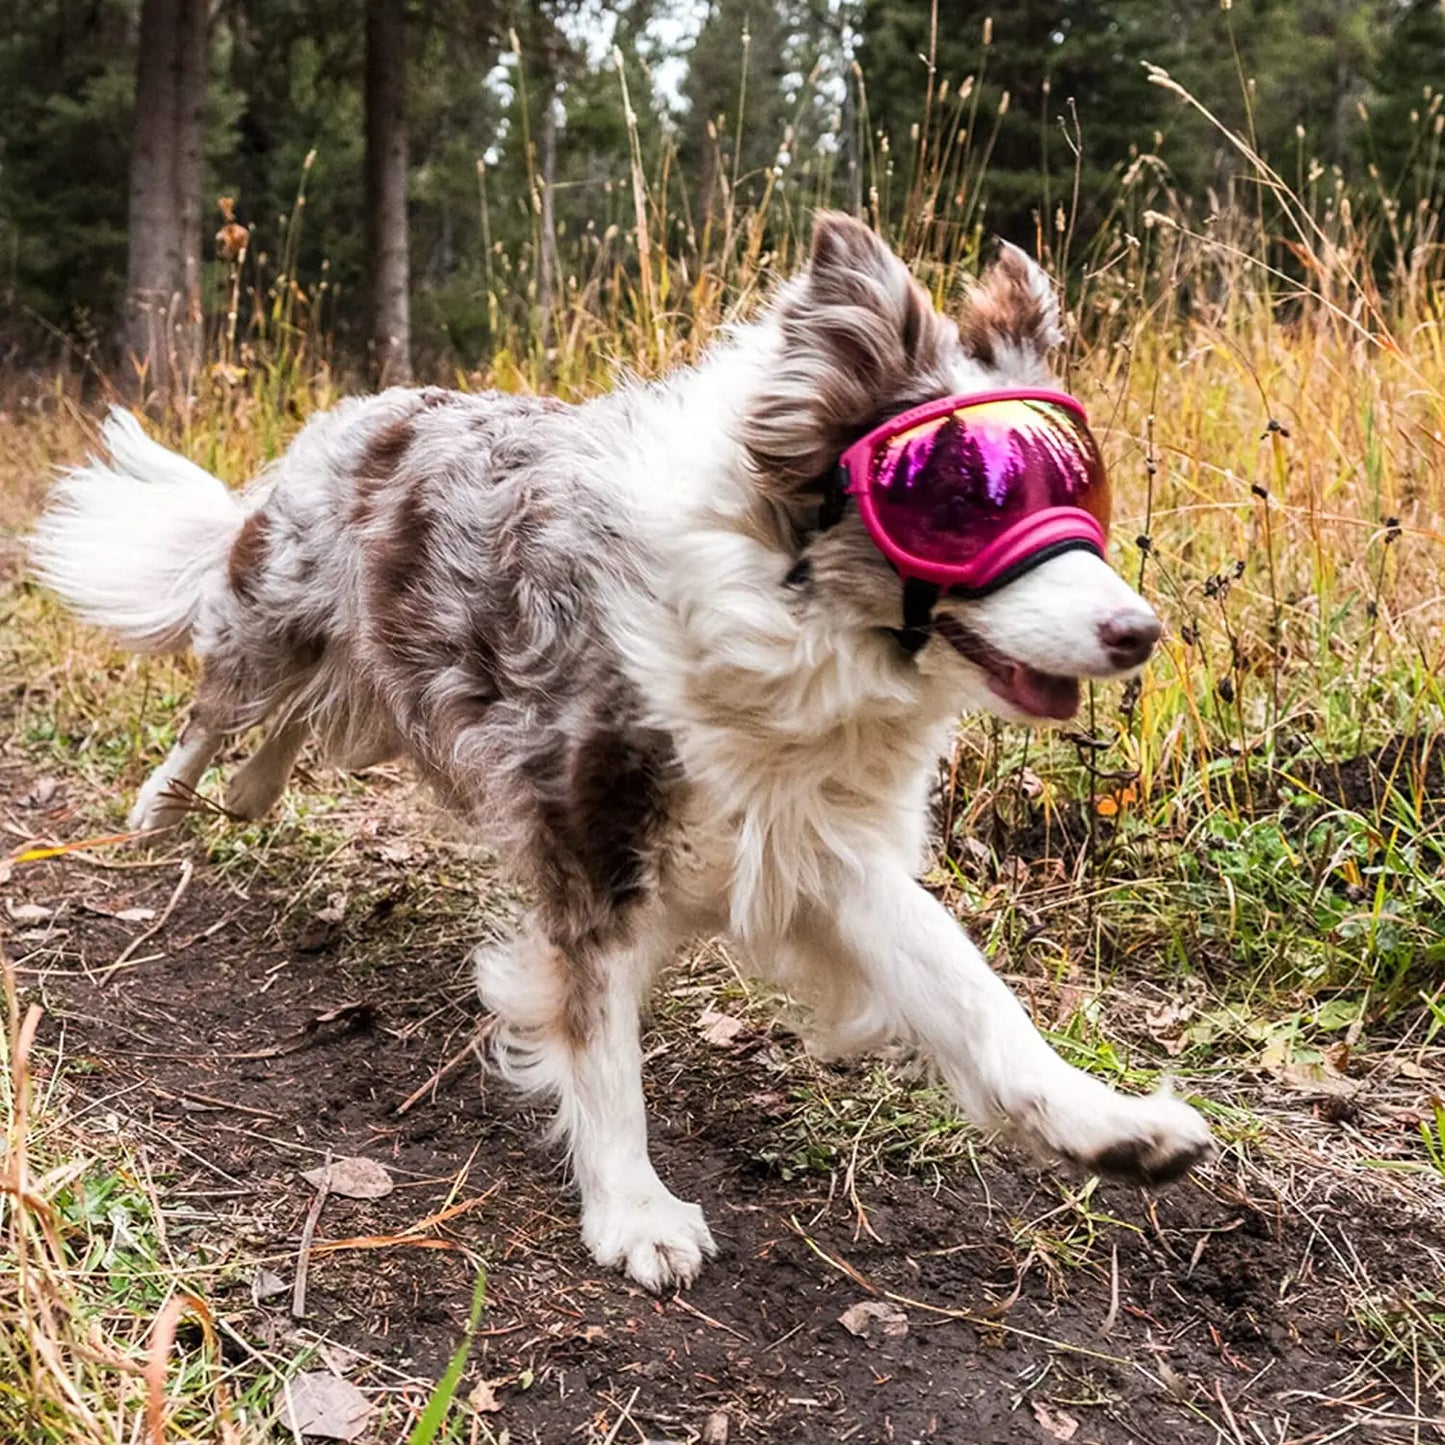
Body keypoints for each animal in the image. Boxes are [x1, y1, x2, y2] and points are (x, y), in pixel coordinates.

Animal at [31, 216, 1208, 1300]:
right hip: (274, 625)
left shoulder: (818, 841)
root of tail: (364, 404)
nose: (1140, 630)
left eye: (1079, 495)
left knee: (302, 722)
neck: (783, 619)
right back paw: (164, 804)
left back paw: (249, 791)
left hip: (370, 679)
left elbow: (970, 994)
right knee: (221, 703)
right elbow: (602, 1048)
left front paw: (1104, 1122)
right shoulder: (589, 842)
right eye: (964, 501)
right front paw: (634, 1208)